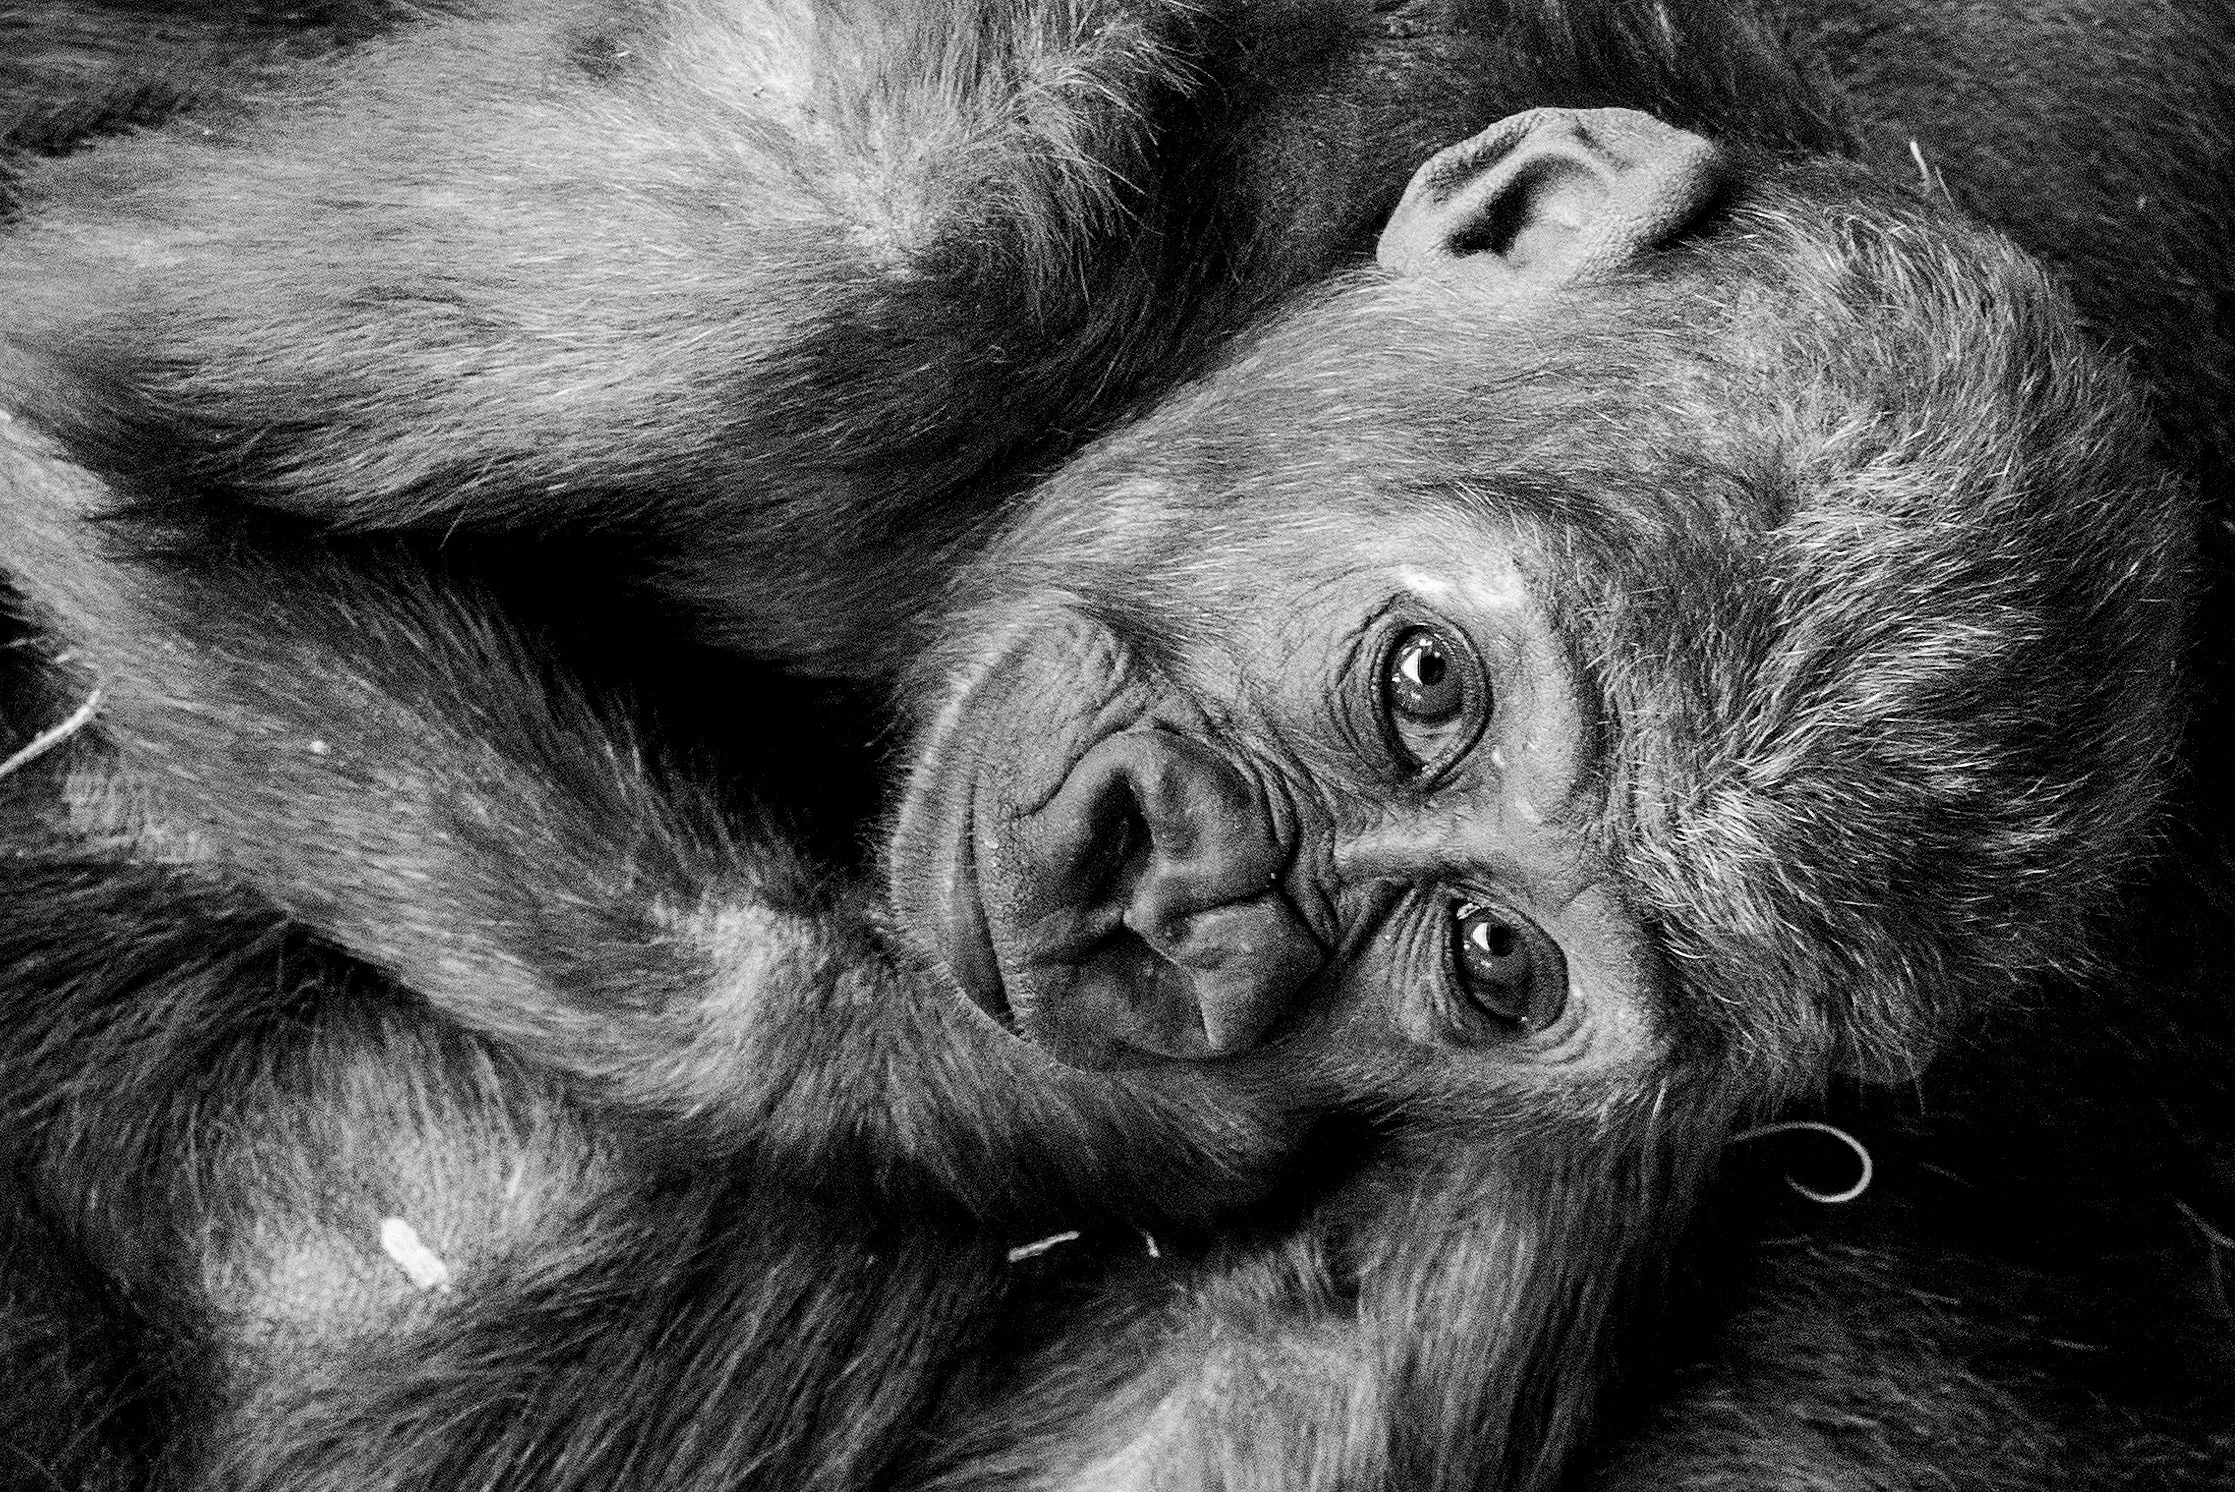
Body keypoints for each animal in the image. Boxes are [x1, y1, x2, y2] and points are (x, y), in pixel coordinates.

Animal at [0, 0, 2225, 1487]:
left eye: (1493, 957)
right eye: (1427, 682)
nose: (1188, 896)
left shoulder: (1679, 1109)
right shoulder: (870, 206)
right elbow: (89, 407)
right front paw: (1062, 1106)